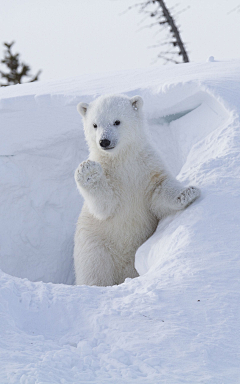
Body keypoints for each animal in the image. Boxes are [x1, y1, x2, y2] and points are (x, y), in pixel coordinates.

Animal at [73, 94, 201, 284]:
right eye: (94, 125)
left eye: (117, 121)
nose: (104, 141)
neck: (122, 160)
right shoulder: (111, 178)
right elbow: (105, 206)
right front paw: (88, 171)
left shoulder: (146, 167)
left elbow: (159, 190)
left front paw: (188, 193)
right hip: (95, 247)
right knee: (95, 273)